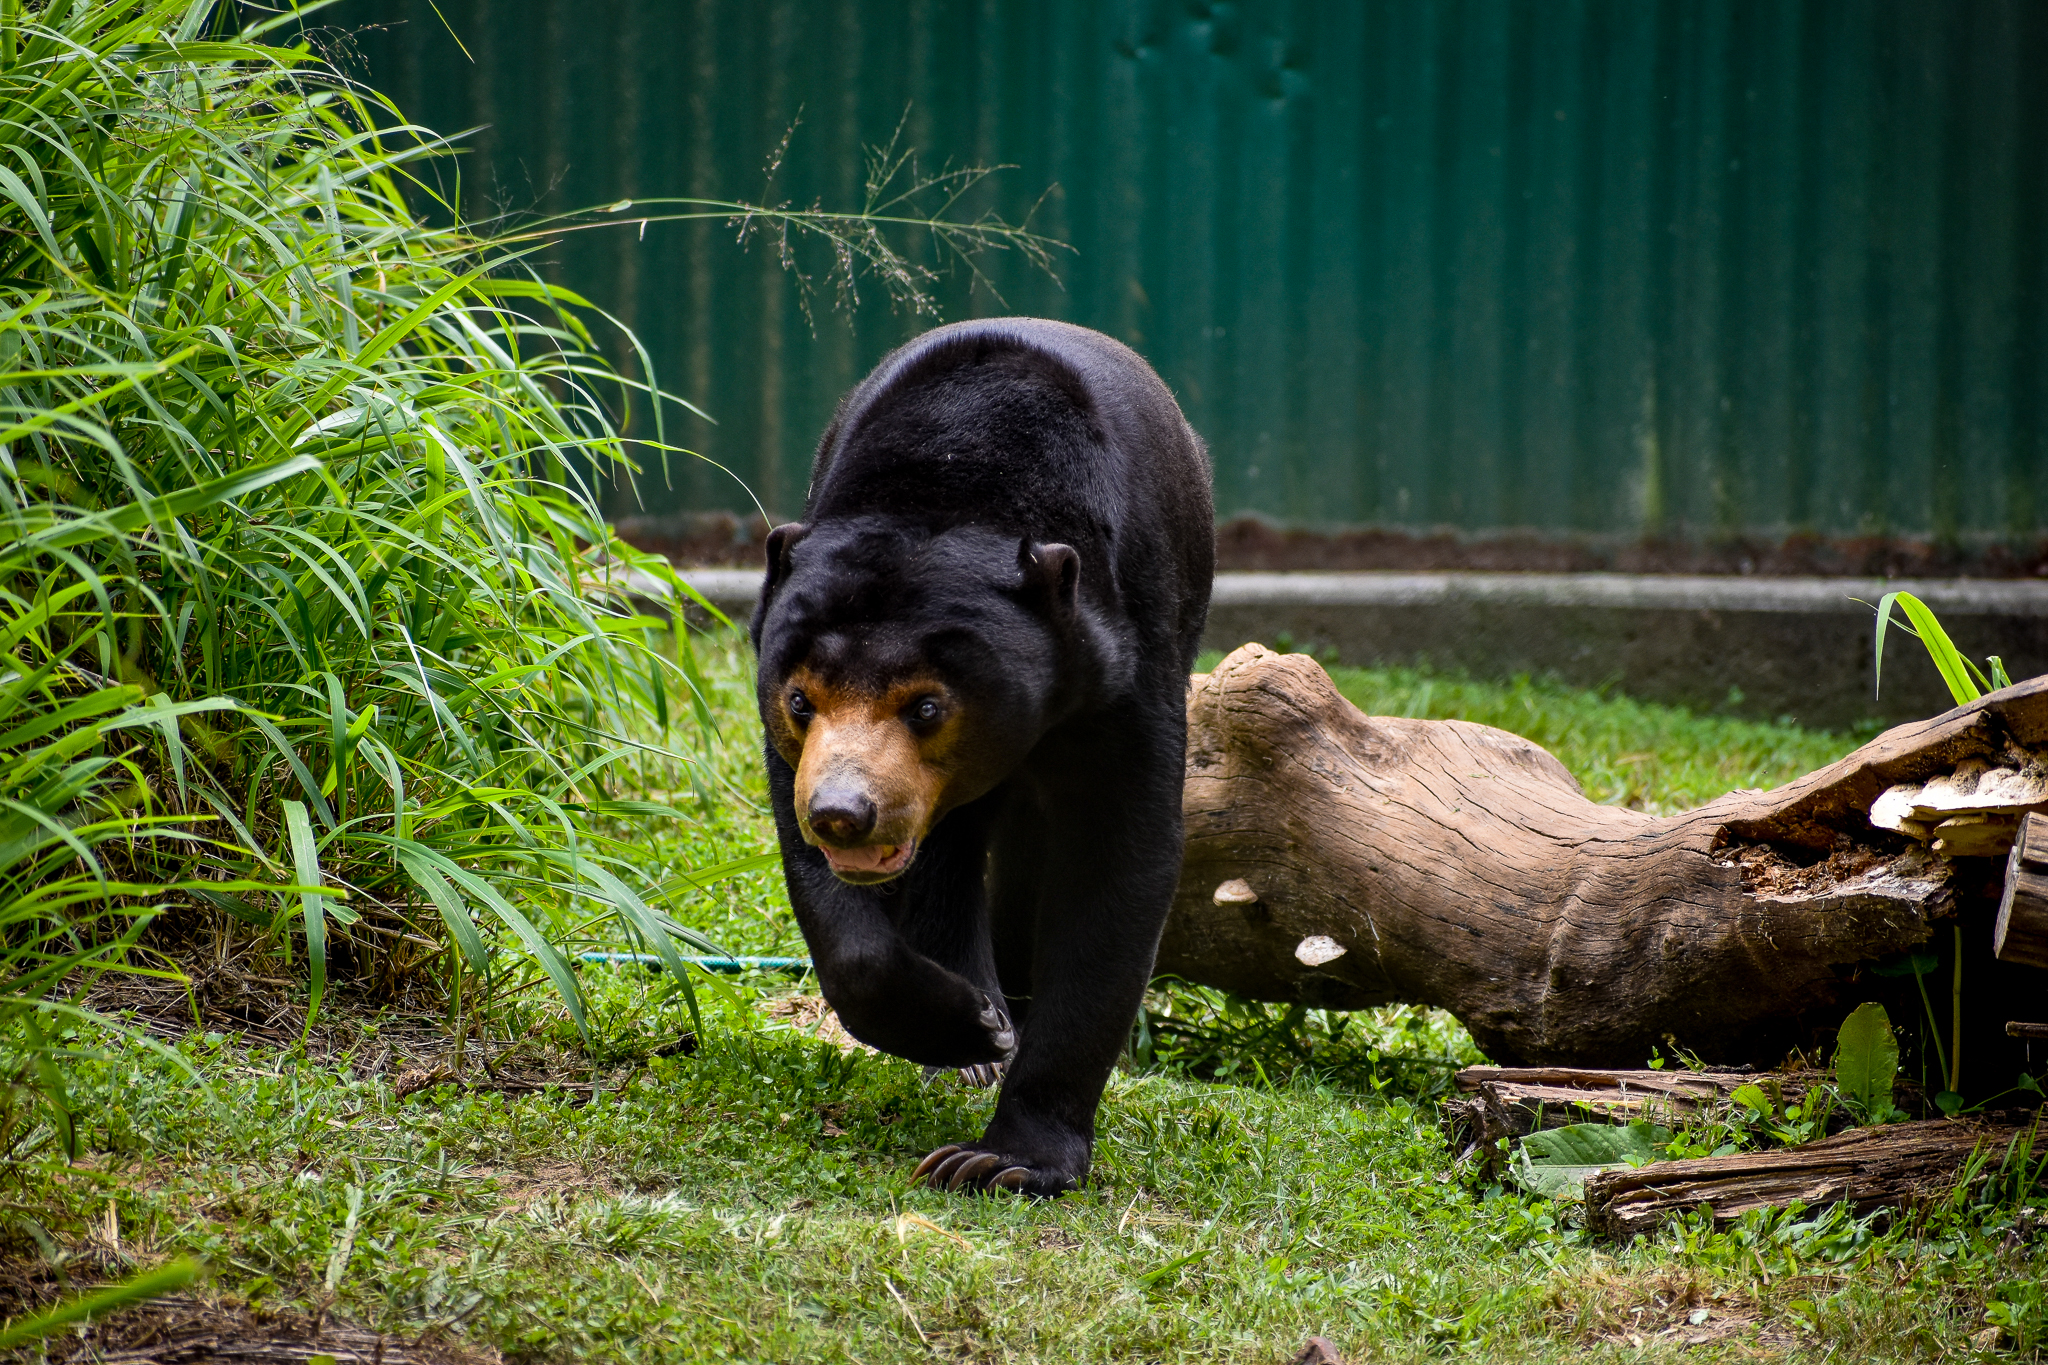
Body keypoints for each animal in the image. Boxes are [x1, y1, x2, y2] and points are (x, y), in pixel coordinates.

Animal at [749, 317, 1214, 1195]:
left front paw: (1004, 1158)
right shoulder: (795, 751)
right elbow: (836, 910)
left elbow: (1118, 865)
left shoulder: (1124, 664)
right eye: (799, 699)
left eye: (928, 706)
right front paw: (970, 1031)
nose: (843, 812)